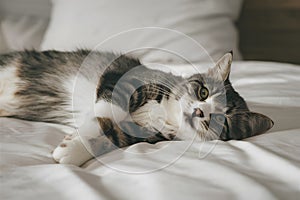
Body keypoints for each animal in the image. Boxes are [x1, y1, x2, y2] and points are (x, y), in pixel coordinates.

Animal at [0, 50, 274, 166]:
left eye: (221, 119)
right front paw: (83, 130)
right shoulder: (123, 74)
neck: (166, 116)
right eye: (203, 92)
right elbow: (107, 110)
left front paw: (72, 150)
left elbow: (113, 135)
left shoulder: (144, 135)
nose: (199, 112)